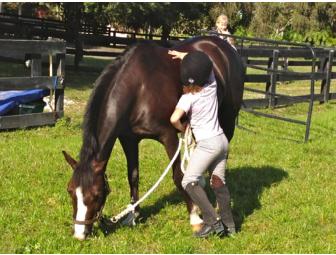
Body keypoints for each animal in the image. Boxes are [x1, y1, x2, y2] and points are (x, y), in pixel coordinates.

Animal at [62, 34, 244, 240]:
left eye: (96, 195)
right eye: (70, 191)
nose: (79, 234)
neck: (139, 88)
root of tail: (224, 47)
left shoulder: (169, 136)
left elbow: (178, 176)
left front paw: (195, 217)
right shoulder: (129, 139)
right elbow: (133, 176)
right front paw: (133, 215)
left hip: (227, 119)